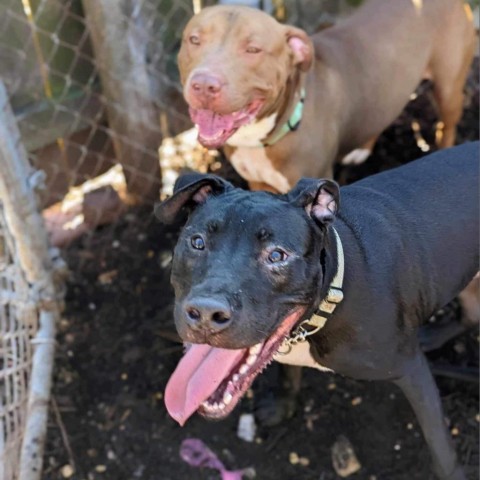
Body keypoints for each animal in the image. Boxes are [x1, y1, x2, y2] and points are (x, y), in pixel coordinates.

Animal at [157, 142, 476, 480]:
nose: (206, 313)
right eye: (197, 242)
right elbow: (288, 375)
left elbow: (439, 443)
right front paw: (282, 407)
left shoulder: (412, 370)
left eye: (277, 256)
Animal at [178, 2, 474, 193]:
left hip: (449, 88)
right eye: (194, 39)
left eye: (253, 49)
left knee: (448, 124)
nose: (204, 85)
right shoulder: (258, 185)